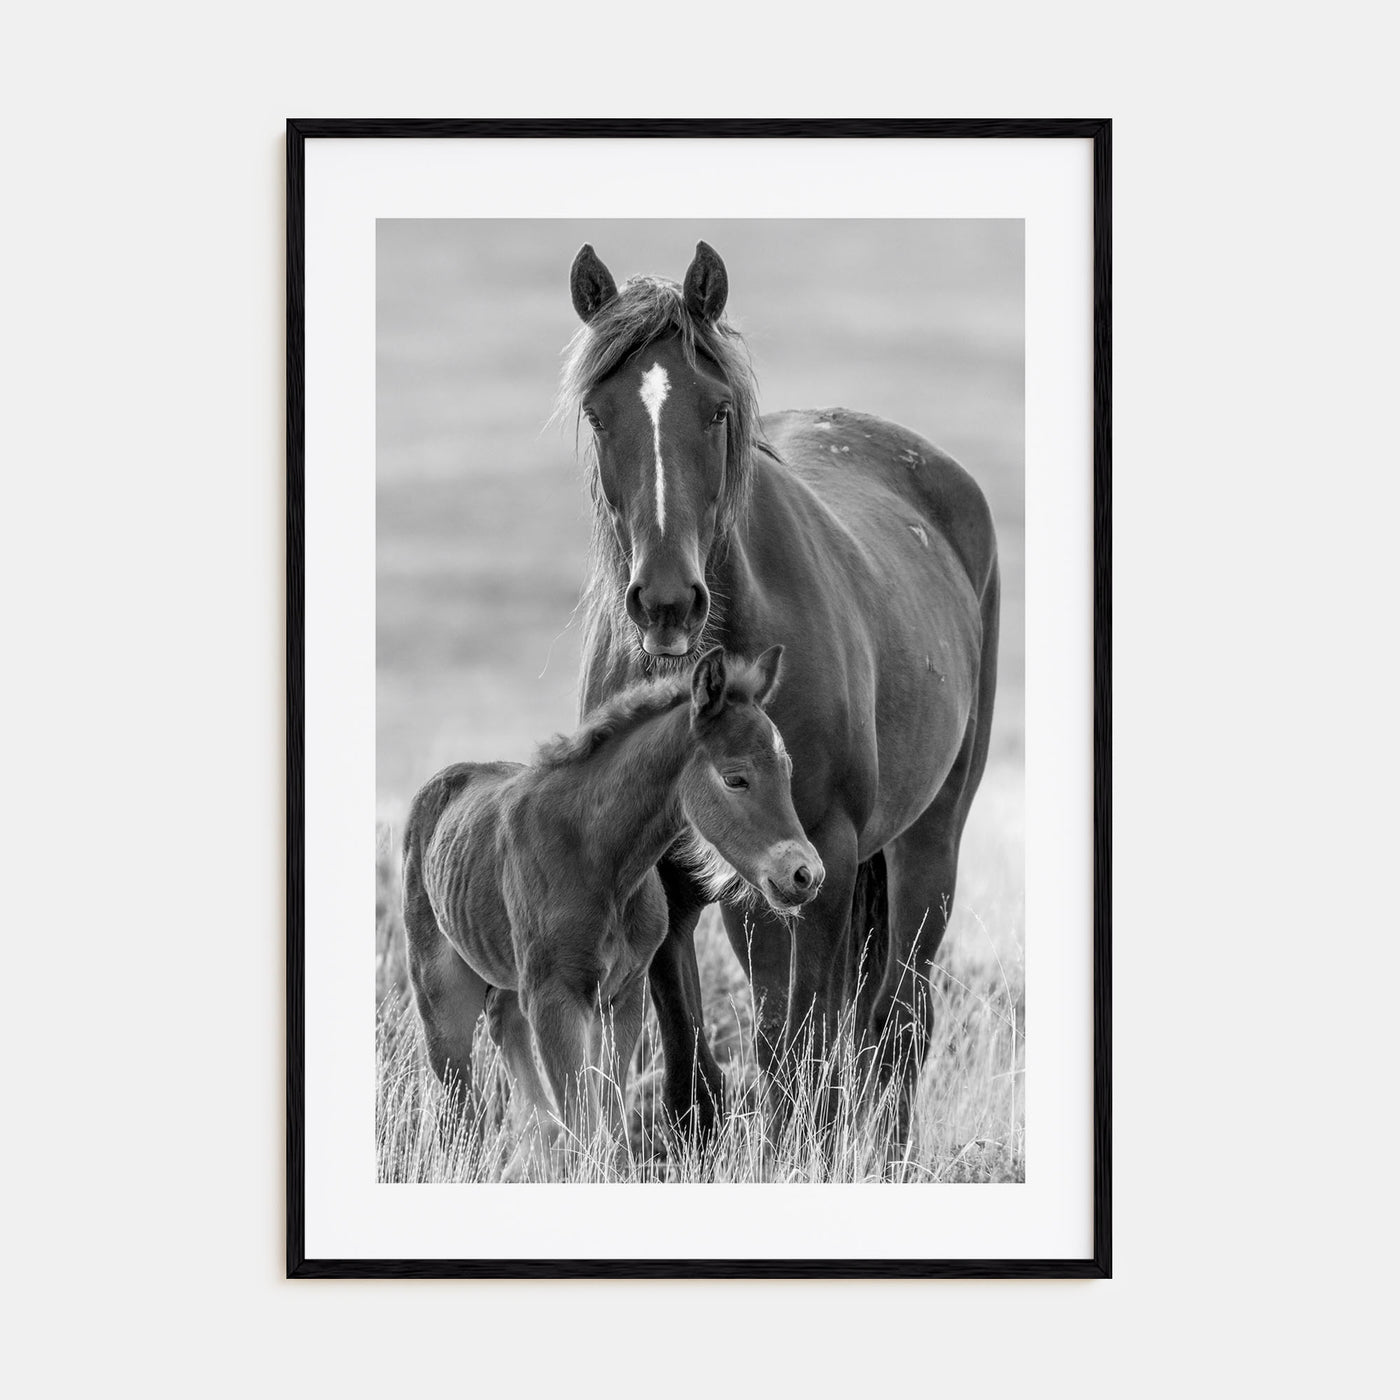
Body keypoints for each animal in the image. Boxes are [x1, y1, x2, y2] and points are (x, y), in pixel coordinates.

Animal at [400, 645, 822, 1164]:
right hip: (440, 991)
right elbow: (586, 1126)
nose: (805, 875)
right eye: (736, 778)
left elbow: (612, 1127)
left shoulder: (623, 995)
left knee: (506, 1031)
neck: (601, 861)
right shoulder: (555, 997)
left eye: (786, 772)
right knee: (460, 1096)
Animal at [561, 241, 1000, 1139]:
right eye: (599, 413)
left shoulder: (816, 858)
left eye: (718, 410)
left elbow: (800, 1055)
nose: (666, 603)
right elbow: (695, 1070)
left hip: (924, 846)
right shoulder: (668, 882)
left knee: (897, 1025)